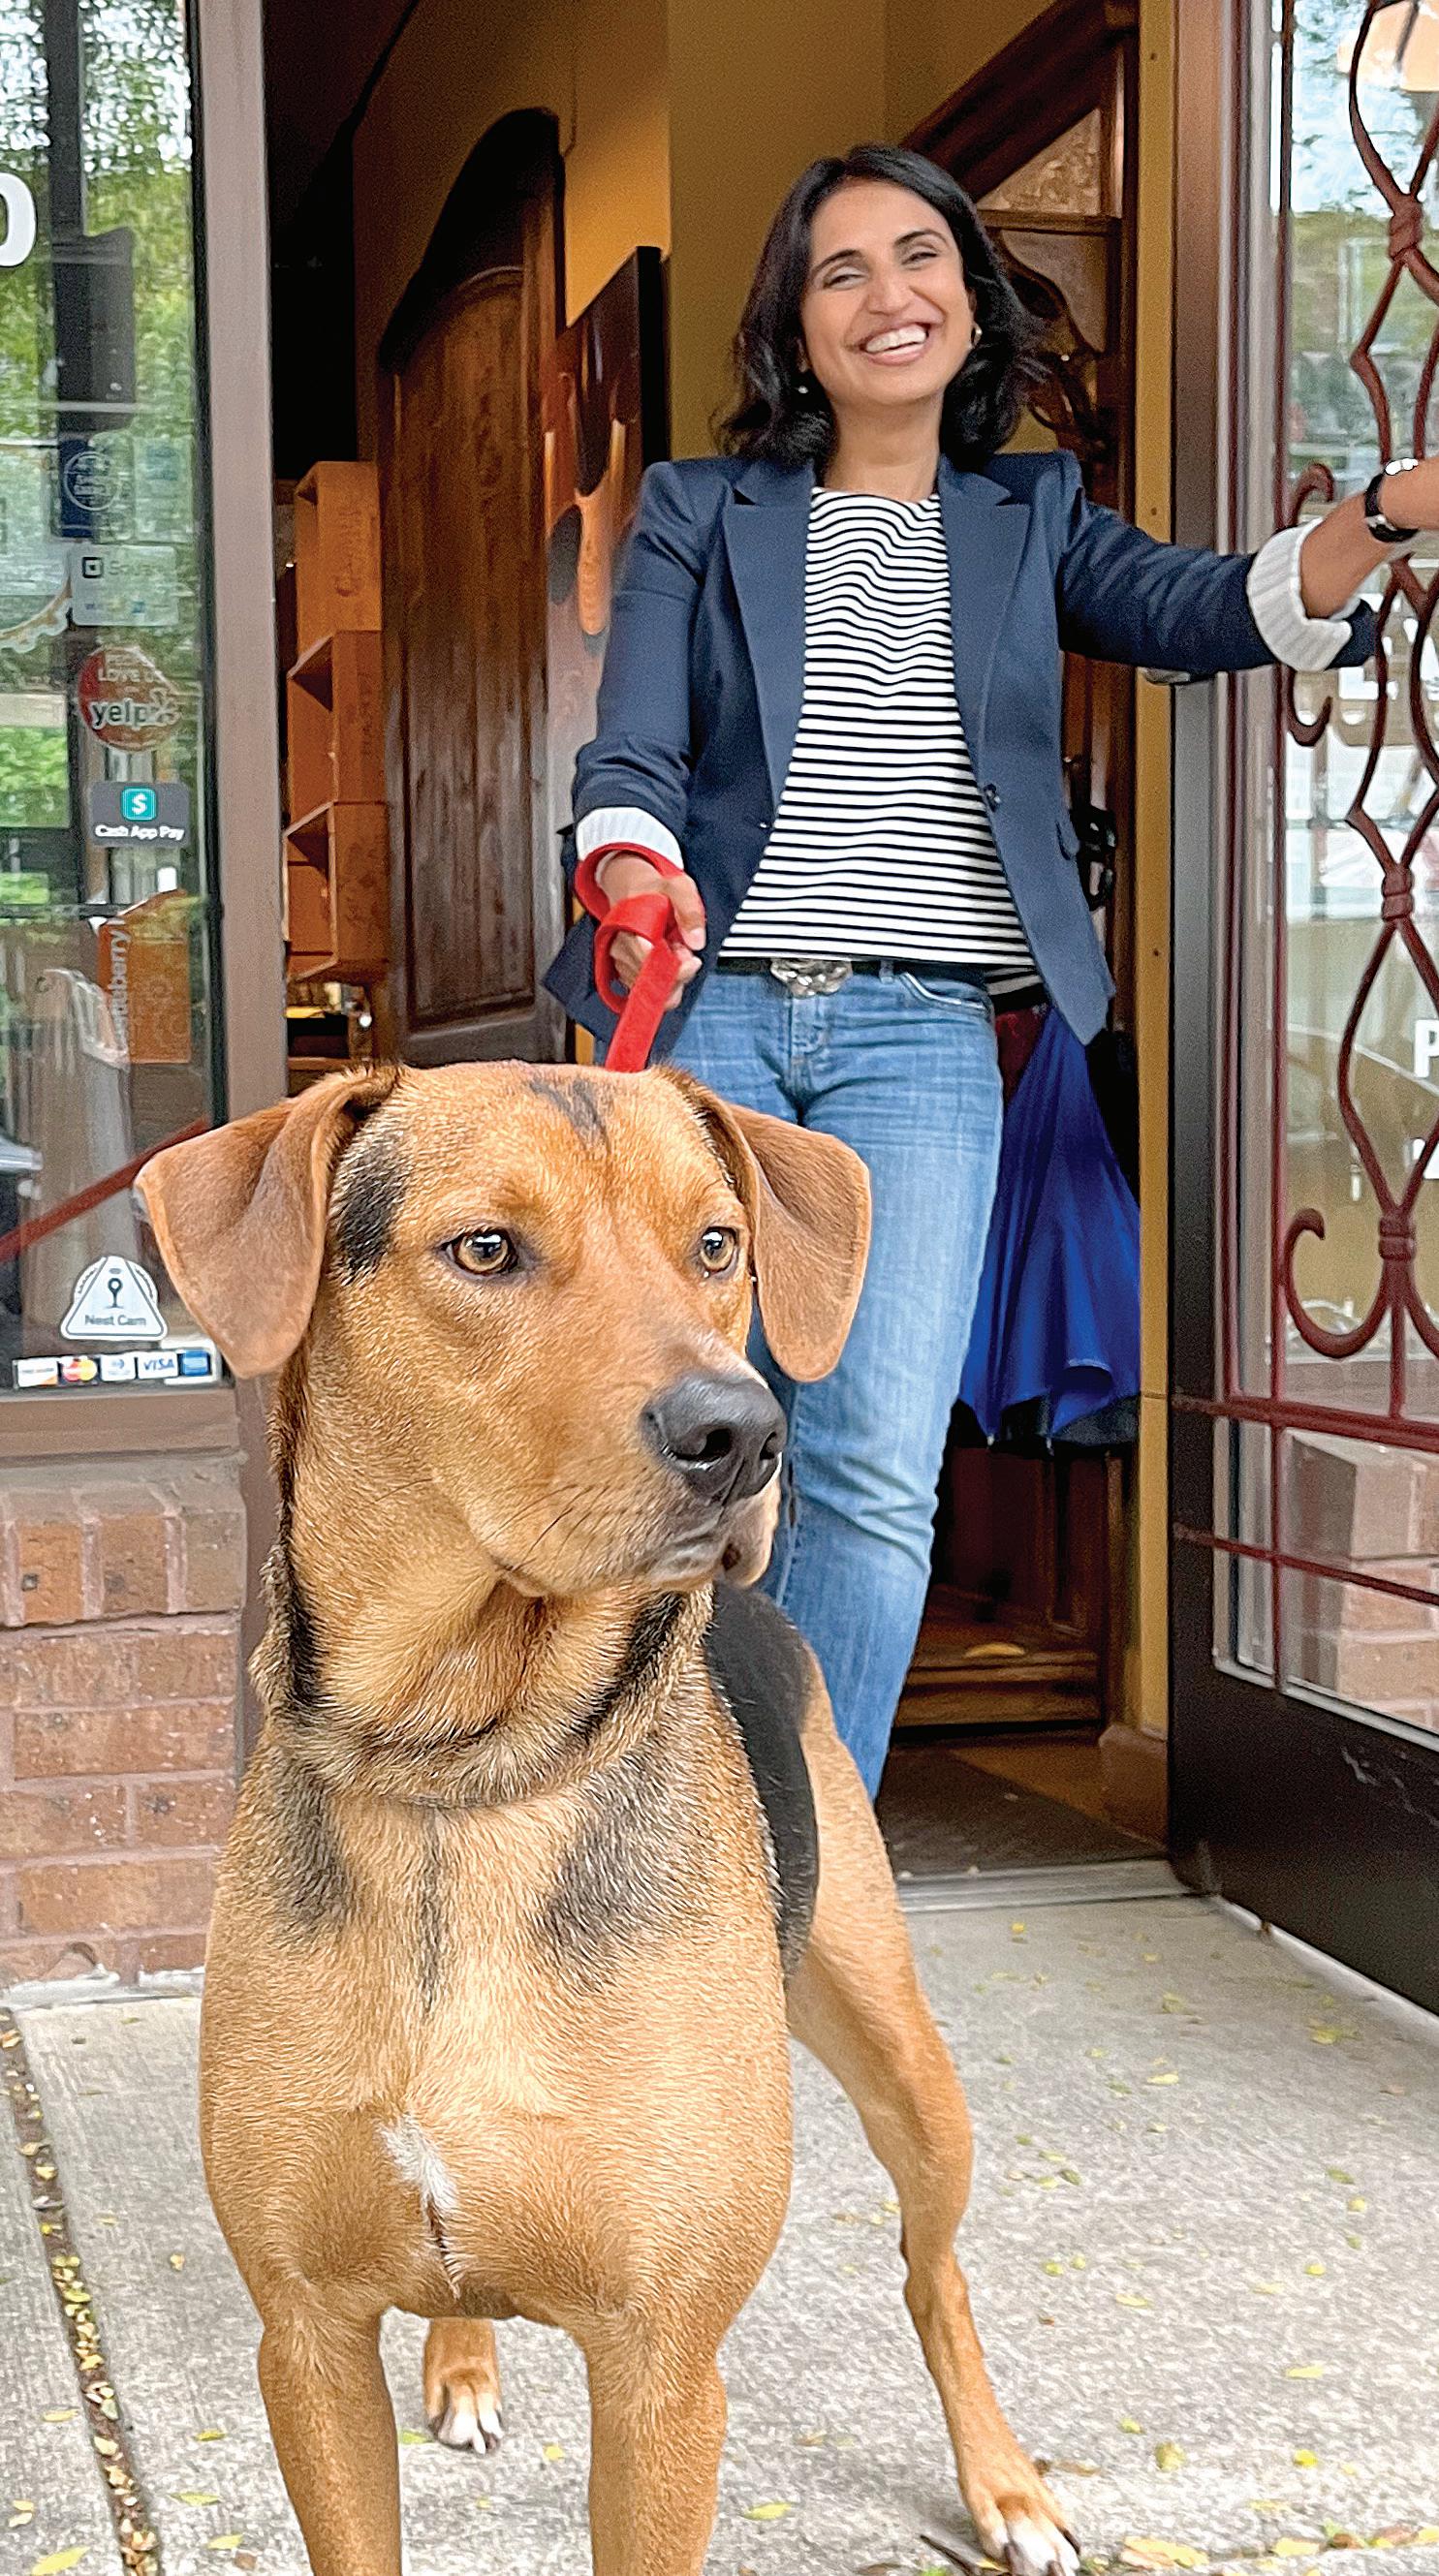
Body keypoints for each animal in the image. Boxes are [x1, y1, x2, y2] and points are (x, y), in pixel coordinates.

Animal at [139, 1060, 1077, 2576]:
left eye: (718, 1244)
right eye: (484, 1249)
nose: (744, 1435)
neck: (463, 1767)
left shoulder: (661, 2371)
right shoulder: (307, 2339)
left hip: (906, 2064)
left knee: (932, 2273)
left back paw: (1005, 2484)